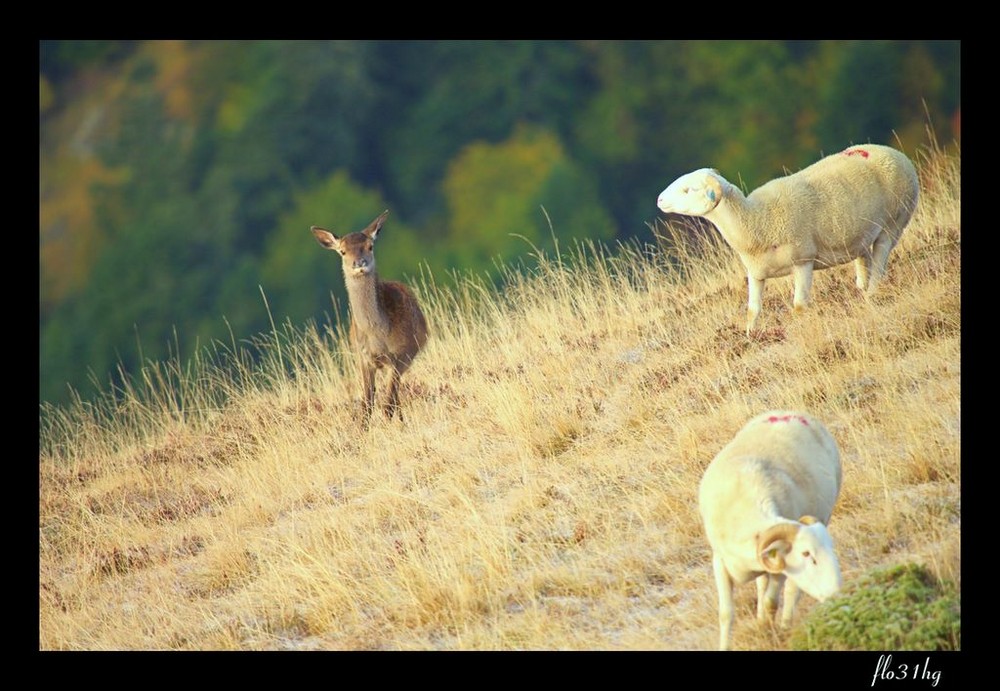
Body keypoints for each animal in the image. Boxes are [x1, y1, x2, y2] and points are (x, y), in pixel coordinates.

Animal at [660, 145, 916, 334]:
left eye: (689, 190)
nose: (659, 199)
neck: (756, 219)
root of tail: (893, 152)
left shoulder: (803, 260)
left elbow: (800, 306)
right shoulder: (756, 272)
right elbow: (753, 310)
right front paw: (750, 337)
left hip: (894, 222)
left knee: (880, 261)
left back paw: (872, 295)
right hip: (858, 235)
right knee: (864, 263)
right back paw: (862, 293)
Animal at [696, 414, 844, 652]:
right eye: (806, 554)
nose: (836, 593)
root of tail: (794, 413)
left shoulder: (780, 568)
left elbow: (771, 602)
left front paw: (768, 632)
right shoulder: (720, 561)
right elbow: (726, 613)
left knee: (792, 591)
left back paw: (784, 625)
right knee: (761, 585)